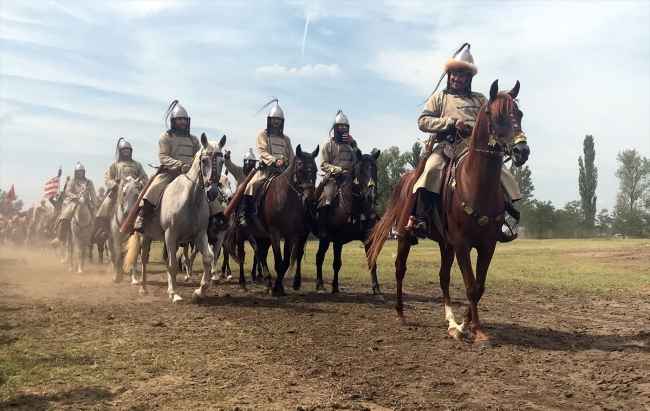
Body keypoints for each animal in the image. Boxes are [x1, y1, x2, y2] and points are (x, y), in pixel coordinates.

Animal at [123, 134, 227, 304]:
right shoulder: (170, 234)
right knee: (144, 259)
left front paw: (199, 292)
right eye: (204, 160)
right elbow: (172, 265)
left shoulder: (199, 235)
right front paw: (177, 295)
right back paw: (144, 288)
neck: (189, 199)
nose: (212, 192)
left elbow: (207, 257)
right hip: (146, 236)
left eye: (222, 162)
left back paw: (169, 289)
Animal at [229, 145, 318, 300]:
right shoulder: (275, 233)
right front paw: (277, 288)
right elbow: (279, 262)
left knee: (260, 254)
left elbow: (285, 262)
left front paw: (278, 288)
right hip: (242, 232)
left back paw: (267, 282)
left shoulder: (291, 235)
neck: (285, 197)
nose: (310, 201)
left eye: (316, 170)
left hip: (262, 236)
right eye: (300, 169)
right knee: (242, 255)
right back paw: (243, 284)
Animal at [290, 150, 384, 300]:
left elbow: (372, 261)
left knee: (319, 257)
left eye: (375, 169)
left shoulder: (368, 238)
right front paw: (335, 289)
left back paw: (320, 286)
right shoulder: (338, 240)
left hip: (324, 239)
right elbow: (337, 264)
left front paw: (376, 290)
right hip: (303, 233)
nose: (372, 196)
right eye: (361, 170)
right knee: (299, 254)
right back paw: (297, 282)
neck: (356, 207)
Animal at [364, 79, 528, 348]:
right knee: (400, 269)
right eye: (499, 116)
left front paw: (463, 325)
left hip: (445, 243)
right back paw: (400, 314)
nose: (521, 151)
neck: (476, 184)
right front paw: (476, 332)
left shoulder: (486, 245)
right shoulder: (462, 244)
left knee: (443, 277)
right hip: (404, 236)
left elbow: (479, 286)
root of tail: (408, 177)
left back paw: (450, 320)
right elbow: (471, 287)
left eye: (520, 114)